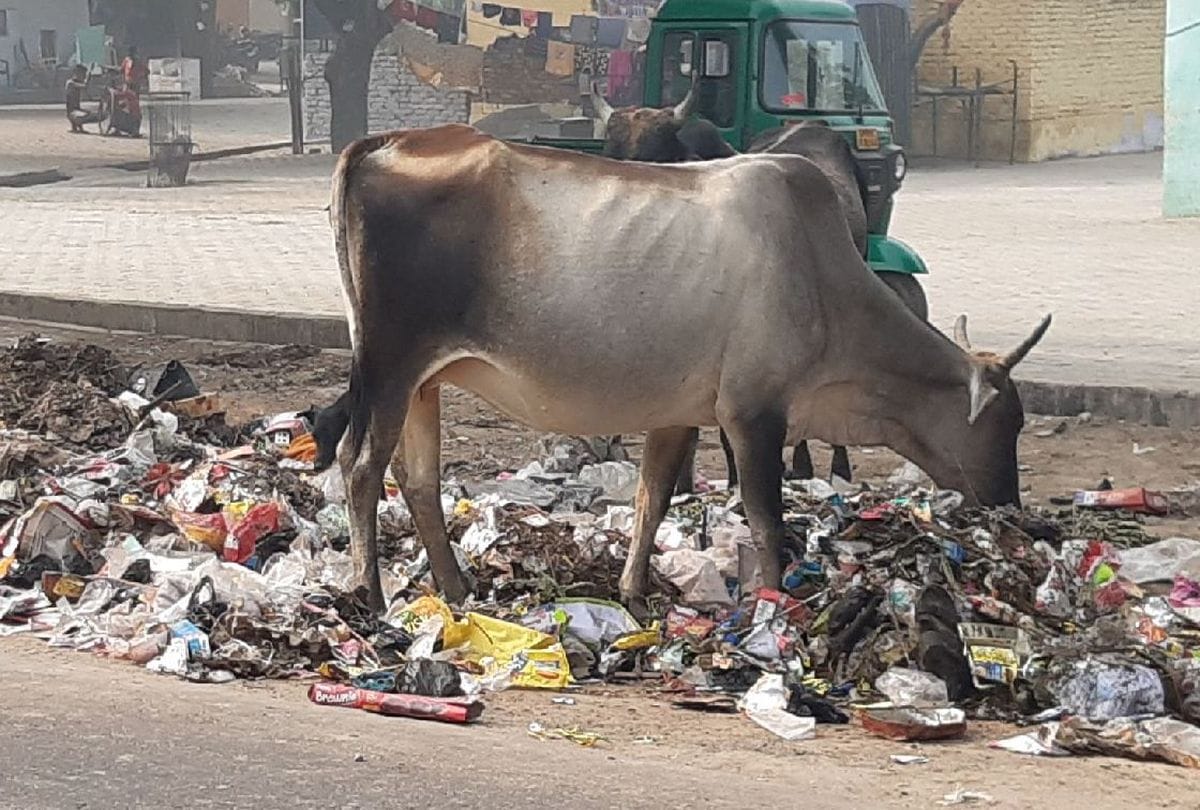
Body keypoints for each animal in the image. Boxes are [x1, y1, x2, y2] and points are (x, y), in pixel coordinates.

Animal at [322, 124, 1049, 614]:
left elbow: (652, 501)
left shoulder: (678, 415)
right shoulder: (753, 414)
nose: (1011, 507)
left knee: (418, 481)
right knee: (361, 466)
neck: (825, 280)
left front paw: (635, 592)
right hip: (390, 362)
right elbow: (765, 517)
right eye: (1004, 425)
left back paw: (454, 586)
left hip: (422, 381)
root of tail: (382, 144)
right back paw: (372, 592)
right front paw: (771, 606)